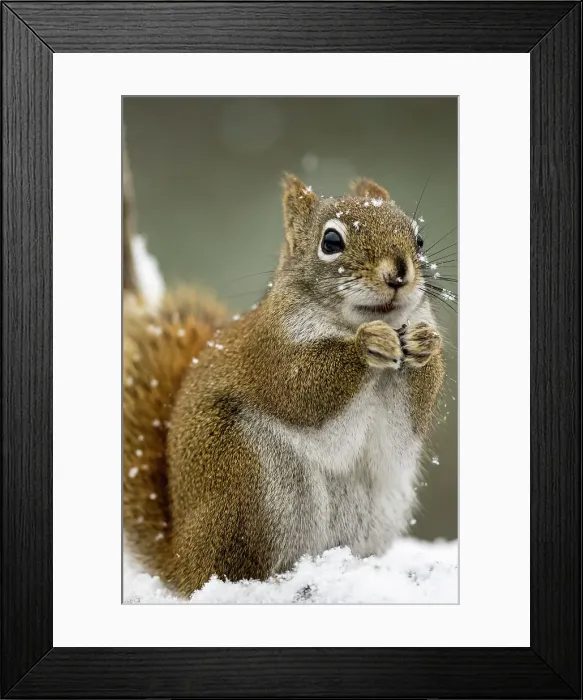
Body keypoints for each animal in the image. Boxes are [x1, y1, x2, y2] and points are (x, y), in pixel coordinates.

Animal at [123, 174, 445, 598]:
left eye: (419, 239)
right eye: (331, 241)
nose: (398, 273)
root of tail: (181, 559)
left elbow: (413, 416)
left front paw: (426, 343)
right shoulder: (270, 355)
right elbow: (300, 389)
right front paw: (367, 345)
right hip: (247, 480)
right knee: (231, 567)